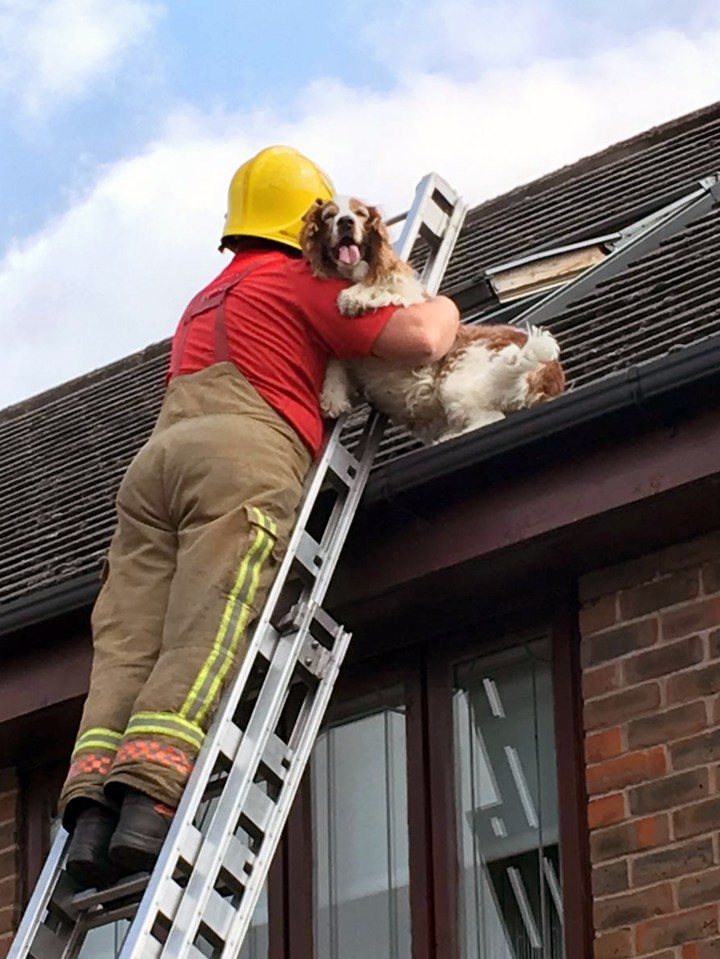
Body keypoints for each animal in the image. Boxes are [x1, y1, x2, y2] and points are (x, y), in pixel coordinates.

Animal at [300, 196, 568, 450]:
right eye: (329, 216)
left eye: (360, 214)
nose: (346, 222)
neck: (351, 274)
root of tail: (550, 373)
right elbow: (335, 362)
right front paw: (332, 397)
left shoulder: (414, 305)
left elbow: (383, 291)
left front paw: (354, 296)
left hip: (457, 381)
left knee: (490, 419)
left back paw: (447, 438)